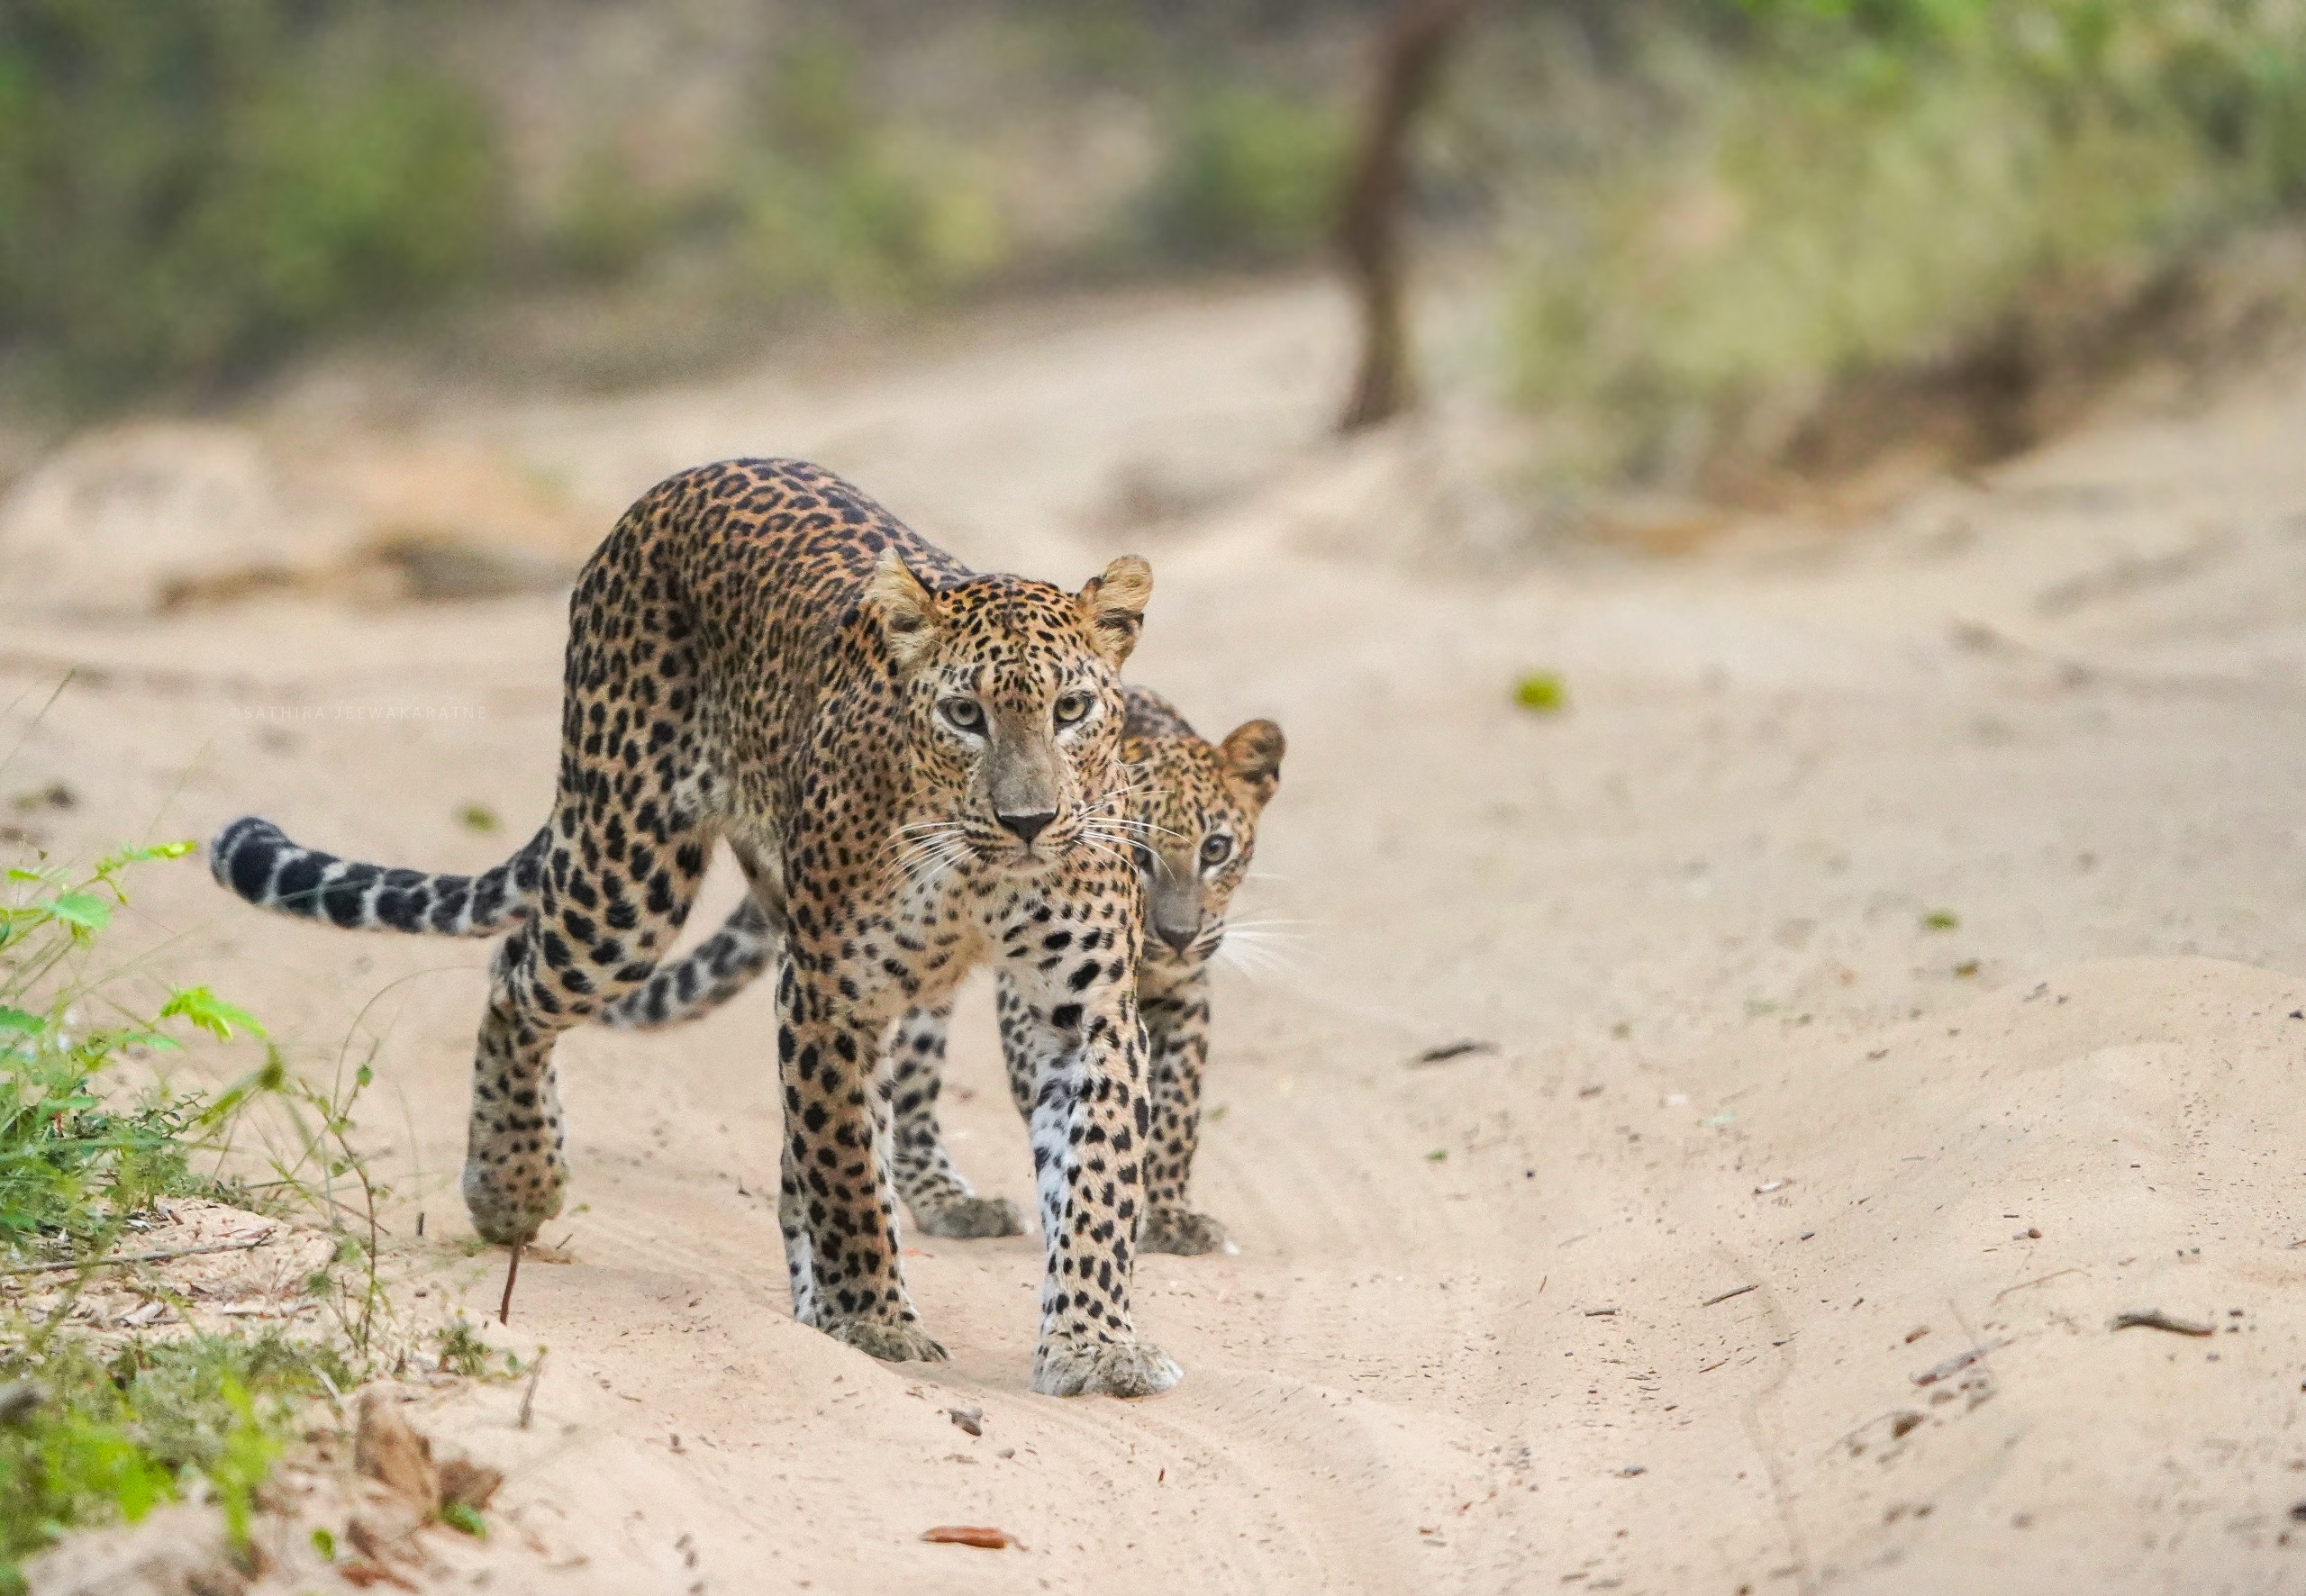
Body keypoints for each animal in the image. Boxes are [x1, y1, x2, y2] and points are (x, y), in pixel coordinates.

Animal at [208, 457, 1181, 1398]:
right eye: (963, 715)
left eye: (1070, 710)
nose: (1030, 821)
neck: (979, 865)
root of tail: (681, 483)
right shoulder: (830, 992)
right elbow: (849, 1173)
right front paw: (874, 1321)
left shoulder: (1085, 1012)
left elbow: (1095, 1183)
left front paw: (1095, 1346)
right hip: (624, 869)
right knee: (517, 976)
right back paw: (513, 1180)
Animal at [596, 685, 1284, 1259]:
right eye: (1138, 854)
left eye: (1216, 849)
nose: (1177, 936)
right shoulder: (1033, 995)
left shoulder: (1184, 994)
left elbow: (1177, 1109)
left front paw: (1167, 1213)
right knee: (908, 1085)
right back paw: (945, 1201)